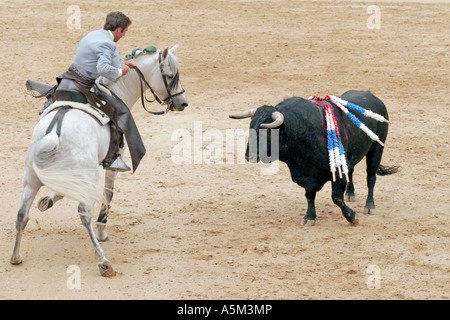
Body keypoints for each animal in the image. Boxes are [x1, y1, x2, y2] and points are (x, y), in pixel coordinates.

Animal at [11, 44, 188, 276]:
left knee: (22, 214)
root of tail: (55, 131)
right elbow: (108, 194)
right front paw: (102, 230)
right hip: (85, 177)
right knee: (84, 213)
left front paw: (46, 201)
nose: (182, 102)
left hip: (30, 180)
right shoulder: (111, 165)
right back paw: (103, 261)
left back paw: (15, 256)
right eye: (169, 75)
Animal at [230, 90, 400, 225]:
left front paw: (352, 217)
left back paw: (369, 206)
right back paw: (350, 193)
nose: (249, 156)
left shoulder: (336, 171)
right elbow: (310, 195)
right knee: (351, 171)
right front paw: (310, 217)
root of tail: (372, 96)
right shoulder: (307, 172)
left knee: (371, 177)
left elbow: (337, 198)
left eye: (268, 132)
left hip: (377, 147)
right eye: (251, 127)